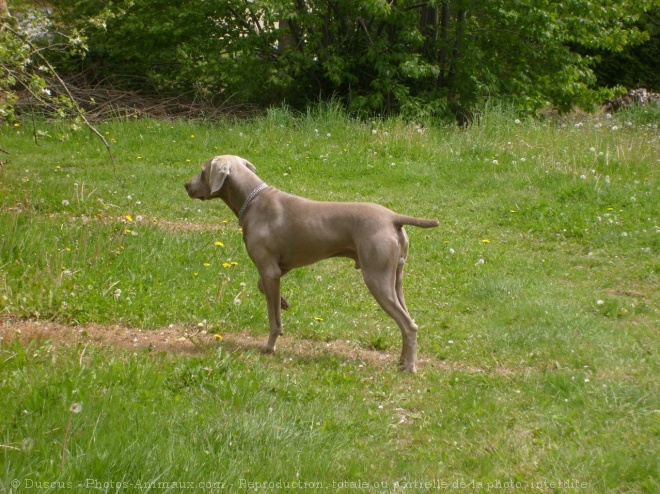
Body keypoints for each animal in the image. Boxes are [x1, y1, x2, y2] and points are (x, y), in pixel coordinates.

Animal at [183, 154, 438, 370]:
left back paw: (409, 367)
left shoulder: (269, 268)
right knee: (407, 320)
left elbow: (273, 318)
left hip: (376, 277)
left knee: (409, 324)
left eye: (202, 171)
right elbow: (263, 288)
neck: (253, 200)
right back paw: (402, 360)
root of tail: (393, 218)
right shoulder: (280, 267)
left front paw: (269, 346)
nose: (186, 185)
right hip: (395, 277)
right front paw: (283, 302)